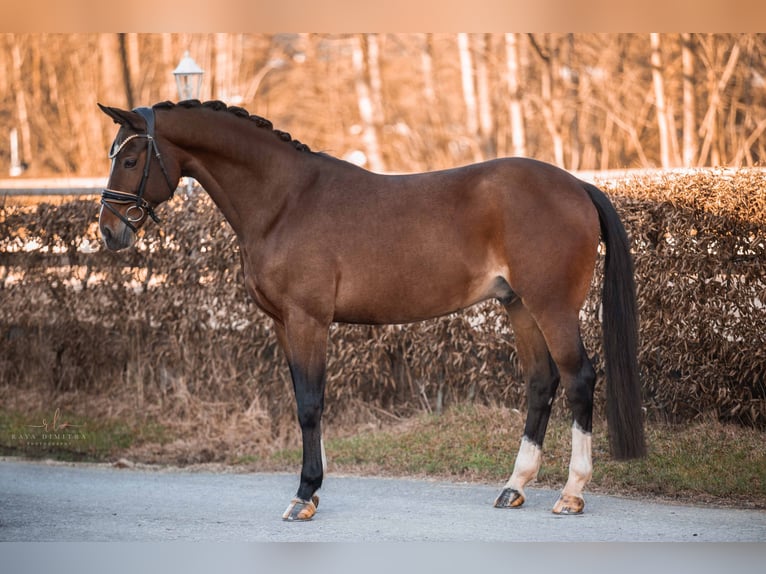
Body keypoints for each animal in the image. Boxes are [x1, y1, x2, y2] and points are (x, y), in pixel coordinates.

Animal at [99, 101, 644, 524]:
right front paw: (314, 489)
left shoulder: (308, 320)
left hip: (552, 307)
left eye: (131, 157)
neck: (285, 202)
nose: (108, 230)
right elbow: (303, 401)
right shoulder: (282, 325)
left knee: (578, 379)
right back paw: (515, 486)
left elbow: (310, 404)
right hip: (520, 307)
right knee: (540, 383)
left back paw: (571, 493)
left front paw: (304, 495)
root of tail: (577, 186)